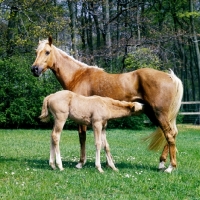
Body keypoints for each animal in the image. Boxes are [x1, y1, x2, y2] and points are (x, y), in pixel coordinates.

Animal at [30, 36, 183, 173]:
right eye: (36, 51)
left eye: (47, 52)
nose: (34, 69)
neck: (78, 75)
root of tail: (170, 77)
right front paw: (108, 164)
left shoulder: (83, 118)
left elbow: (82, 137)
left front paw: (81, 163)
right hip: (157, 115)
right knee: (171, 133)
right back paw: (162, 163)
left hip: (159, 114)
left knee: (169, 135)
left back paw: (170, 167)